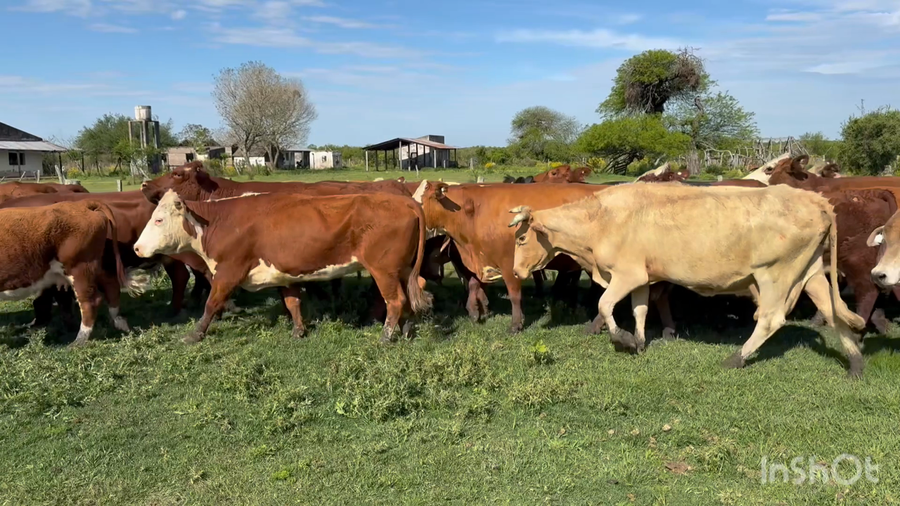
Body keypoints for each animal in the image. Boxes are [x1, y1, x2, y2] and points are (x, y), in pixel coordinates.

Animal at [0, 200, 135, 345]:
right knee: (111, 284)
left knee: (90, 301)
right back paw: (118, 321)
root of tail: (80, 204)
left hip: (79, 268)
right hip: (93, 266)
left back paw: (79, 341)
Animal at [133, 190, 432, 343]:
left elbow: (211, 304)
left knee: (395, 300)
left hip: (384, 270)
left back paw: (386, 336)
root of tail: (403, 200)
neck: (219, 221)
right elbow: (292, 302)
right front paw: (299, 330)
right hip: (402, 269)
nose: (136, 248)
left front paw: (195, 334)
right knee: (411, 296)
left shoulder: (228, 272)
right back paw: (406, 329)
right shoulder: (284, 273)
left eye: (159, 220)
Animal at [508, 182, 867, 377]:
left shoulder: (626, 274)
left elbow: (605, 304)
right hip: (810, 272)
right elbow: (639, 309)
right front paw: (639, 341)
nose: (516, 272)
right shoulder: (642, 277)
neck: (600, 220)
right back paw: (855, 364)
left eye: (522, 239)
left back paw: (736, 358)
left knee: (771, 319)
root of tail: (816, 200)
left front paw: (622, 339)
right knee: (833, 311)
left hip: (775, 273)